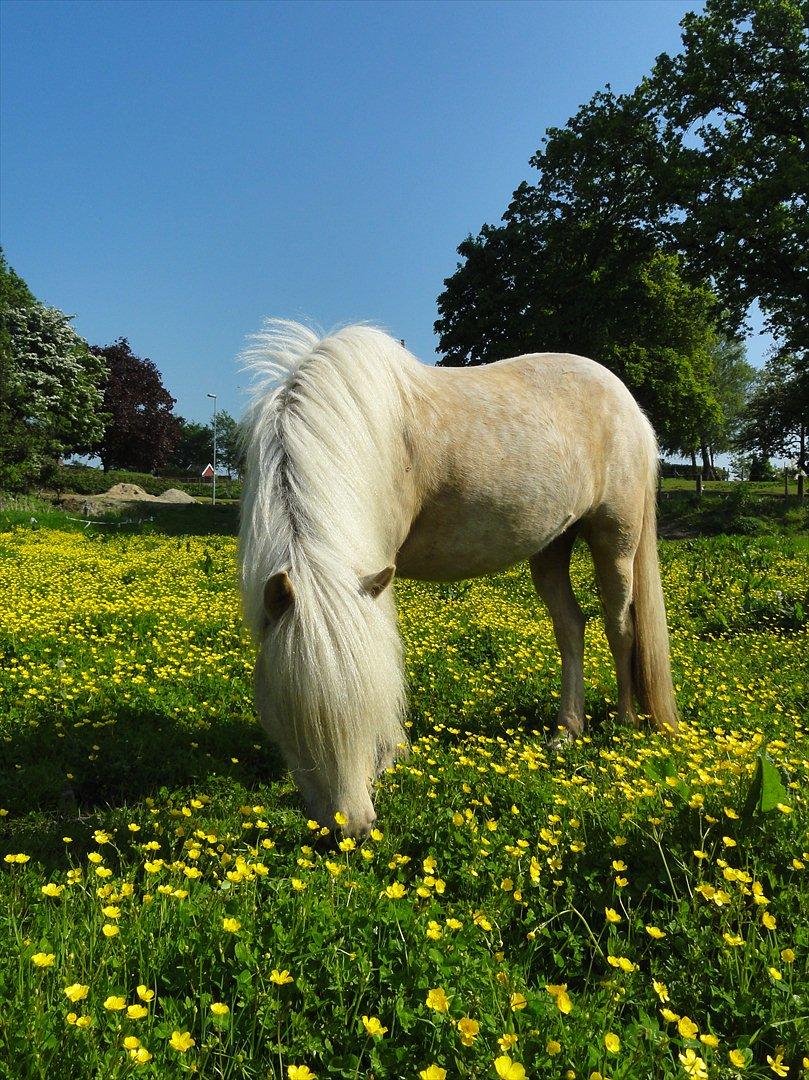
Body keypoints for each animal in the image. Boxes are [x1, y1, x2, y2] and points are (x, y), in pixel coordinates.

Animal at [236, 319, 678, 833]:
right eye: (290, 712)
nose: (352, 827)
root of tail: (630, 405)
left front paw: (391, 752)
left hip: (615, 538)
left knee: (619, 625)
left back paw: (626, 722)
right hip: (552, 545)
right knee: (571, 627)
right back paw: (566, 730)